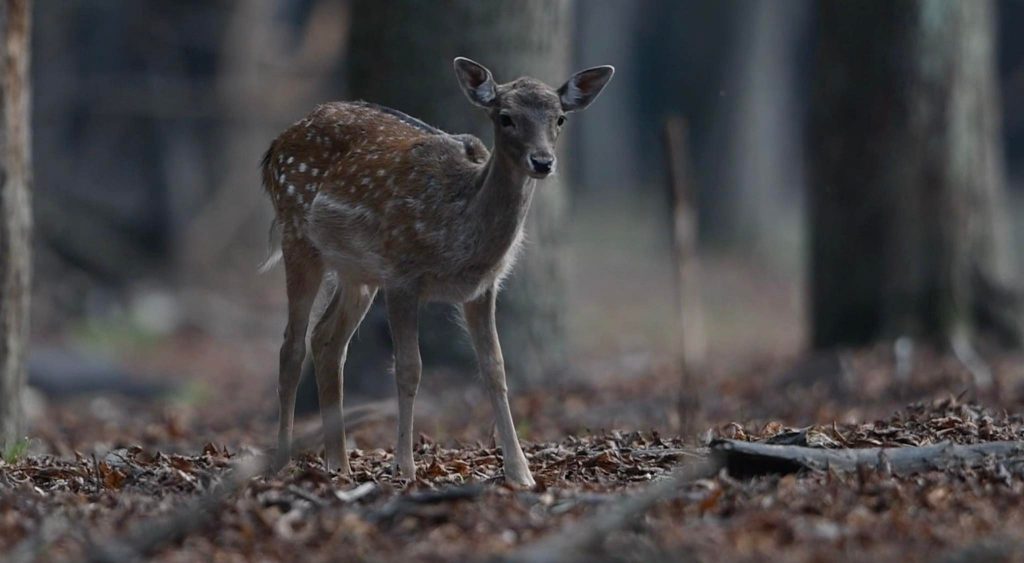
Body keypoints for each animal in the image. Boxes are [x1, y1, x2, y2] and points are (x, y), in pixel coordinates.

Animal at [264, 57, 610, 487]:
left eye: (560, 118)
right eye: (506, 117)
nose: (543, 162)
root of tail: (275, 147)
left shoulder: (483, 288)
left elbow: (495, 368)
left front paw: (521, 473)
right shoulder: (401, 274)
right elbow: (409, 368)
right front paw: (405, 467)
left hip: (357, 272)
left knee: (327, 341)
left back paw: (338, 465)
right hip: (297, 234)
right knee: (291, 346)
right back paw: (281, 463)